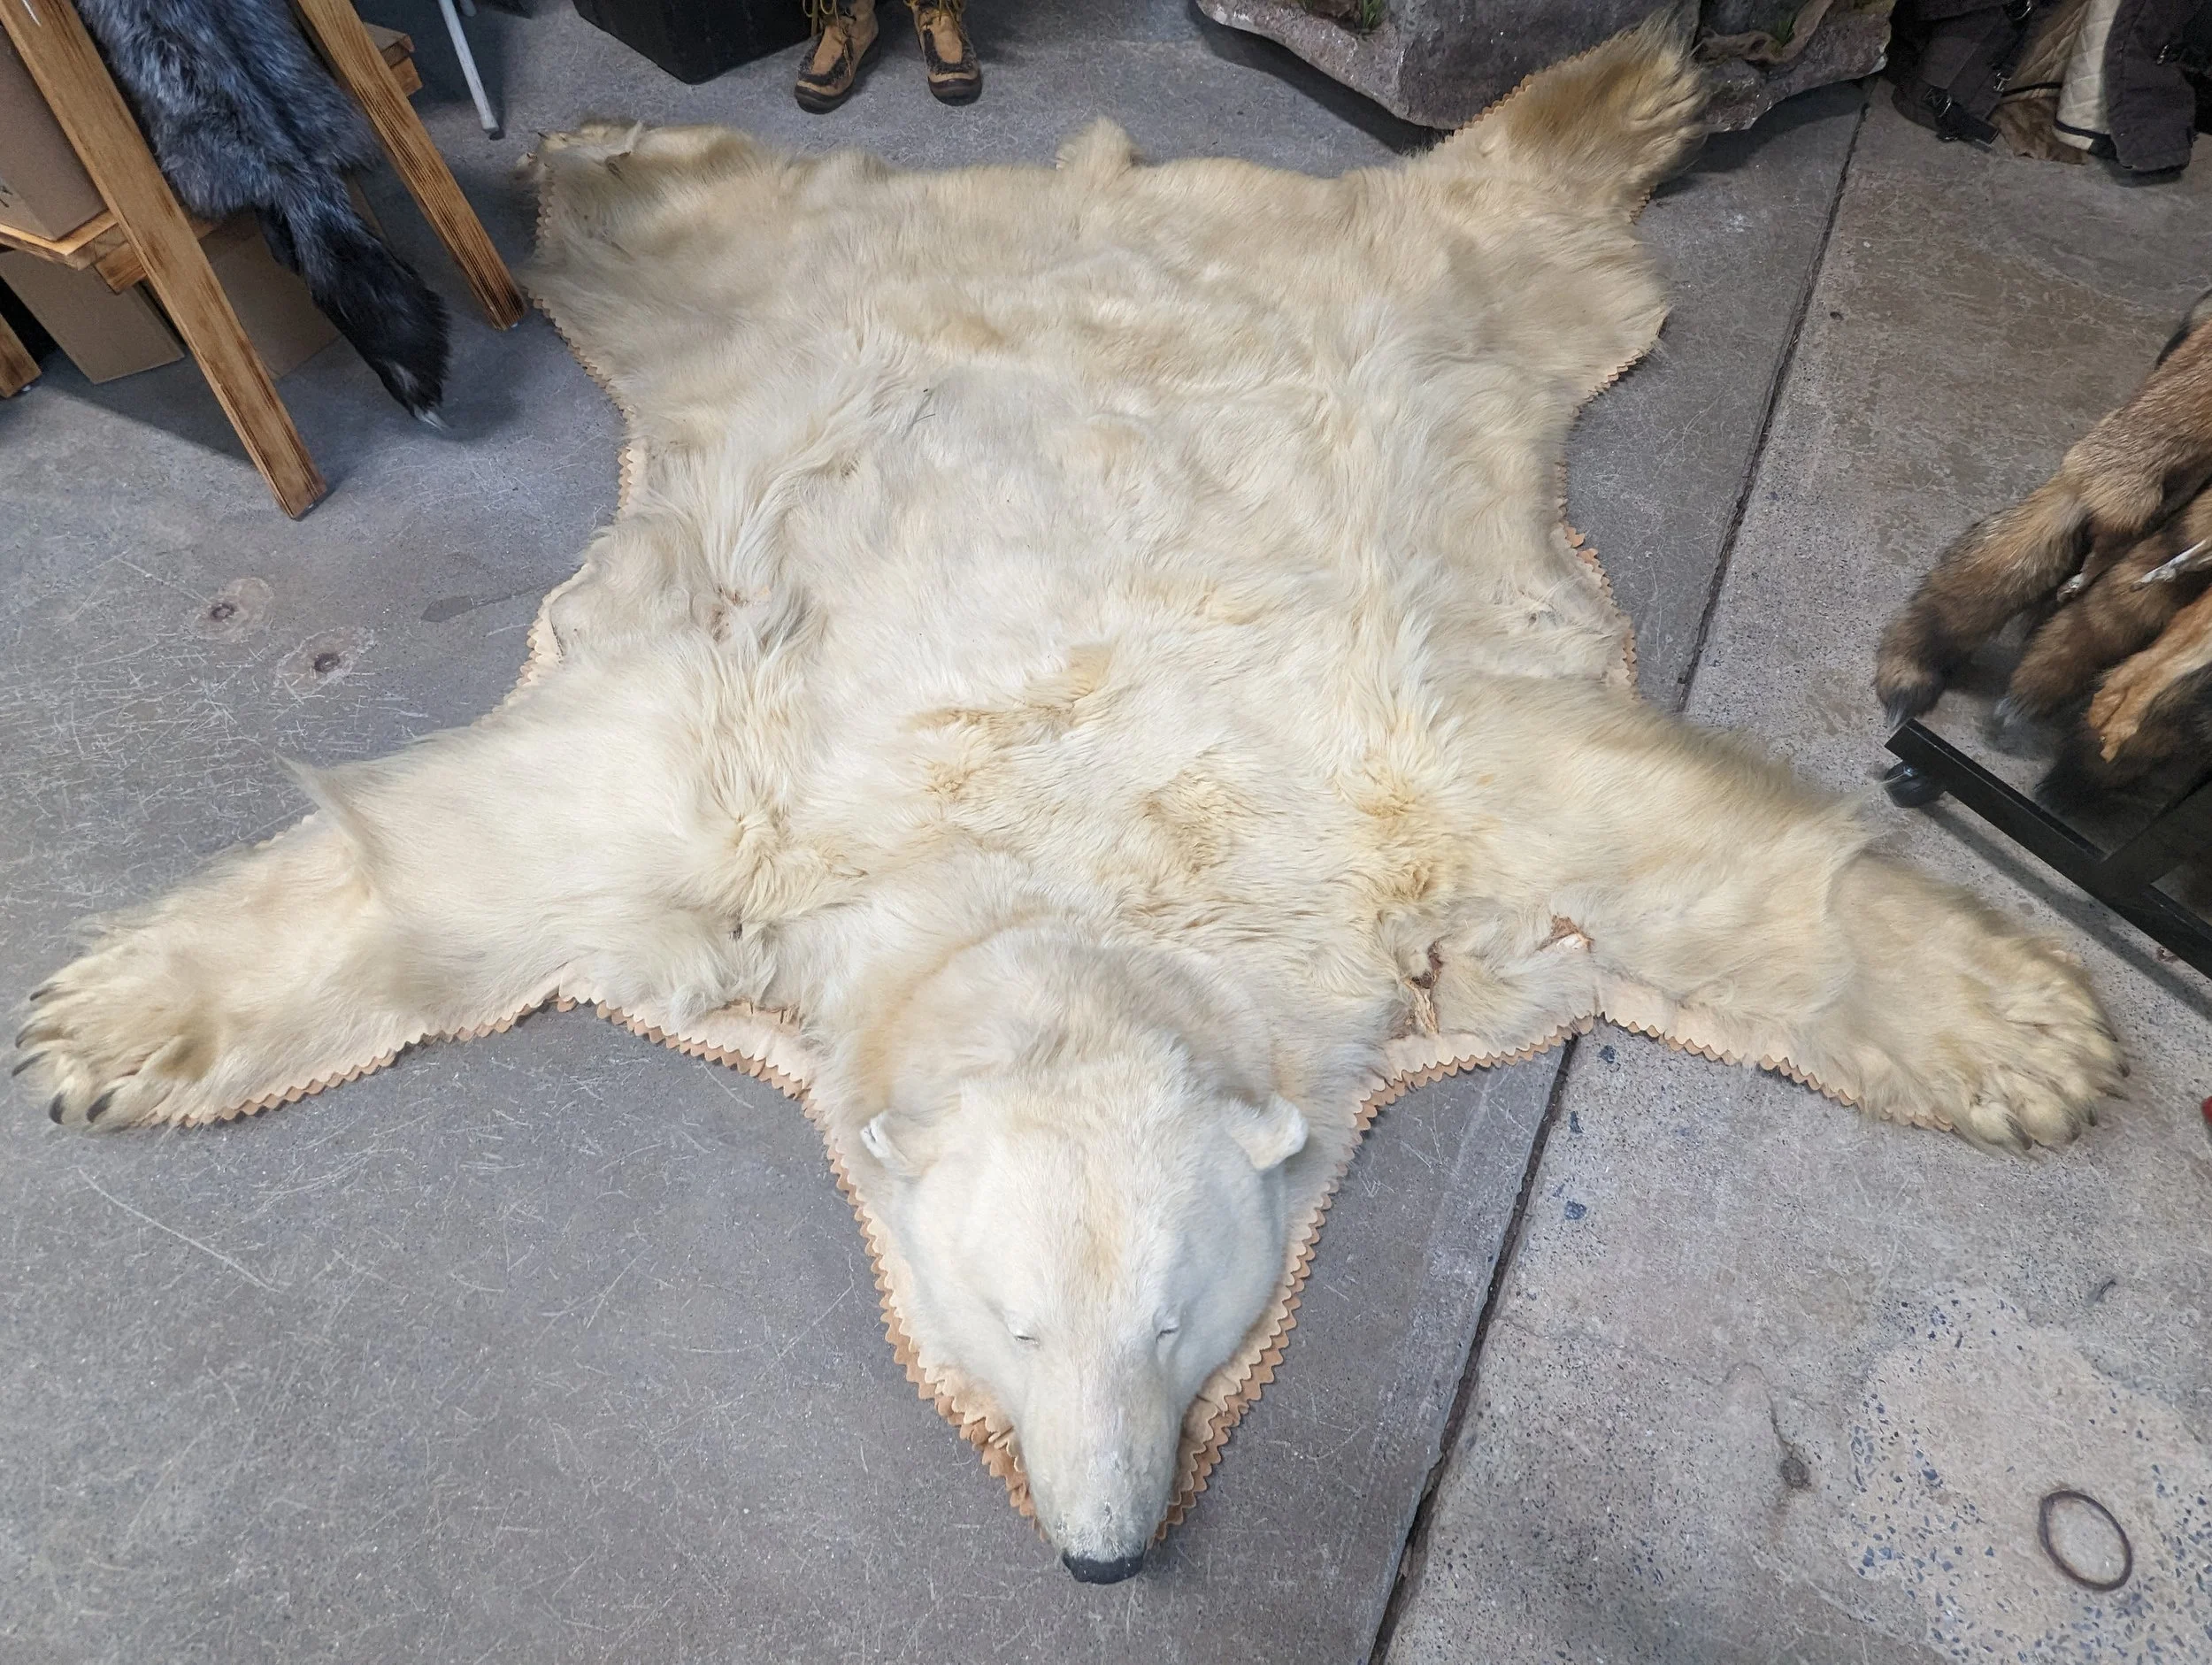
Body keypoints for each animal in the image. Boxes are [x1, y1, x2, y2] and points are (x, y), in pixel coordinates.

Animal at [15, 14, 2119, 1582]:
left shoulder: (1403, 791)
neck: (1081, 876)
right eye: (1010, 1321)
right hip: (783, 330)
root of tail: (1108, 184)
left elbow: (1654, 842)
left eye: (1183, 1322)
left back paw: (1617, 87)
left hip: (1436, 323)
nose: (1103, 1548)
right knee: (695, 255)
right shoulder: (749, 800)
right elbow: (489, 841)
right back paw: (589, 159)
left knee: (1513, 232)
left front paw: (2032, 1038)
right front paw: (102, 1023)